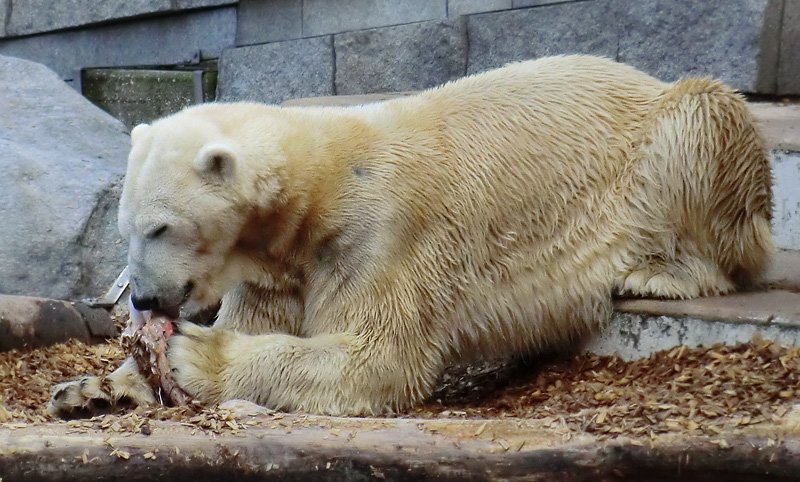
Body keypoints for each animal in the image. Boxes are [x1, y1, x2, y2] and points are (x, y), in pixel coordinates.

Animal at [47, 54, 772, 416]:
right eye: (125, 228)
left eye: (161, 227)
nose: (144, 300)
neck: (321, 182)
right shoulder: (278, 265)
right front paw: (89, 389)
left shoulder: (381, 235)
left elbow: (377, 357)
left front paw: (196, 358)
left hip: (673, 140)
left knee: (705, 121)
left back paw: (660, 270)